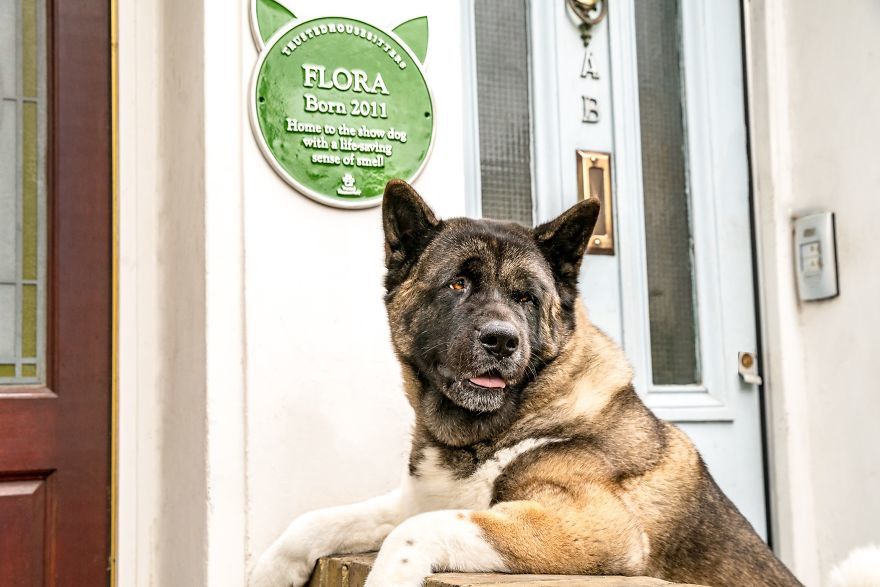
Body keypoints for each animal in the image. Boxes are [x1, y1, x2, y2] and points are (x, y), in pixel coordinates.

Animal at [249, 179, 804, 587]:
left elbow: (416, 530)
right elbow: (319, 520)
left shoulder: (593, 528)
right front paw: (269, 571)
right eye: (458, 284)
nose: (501, 341)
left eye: (526, 299)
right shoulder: (420, 497)